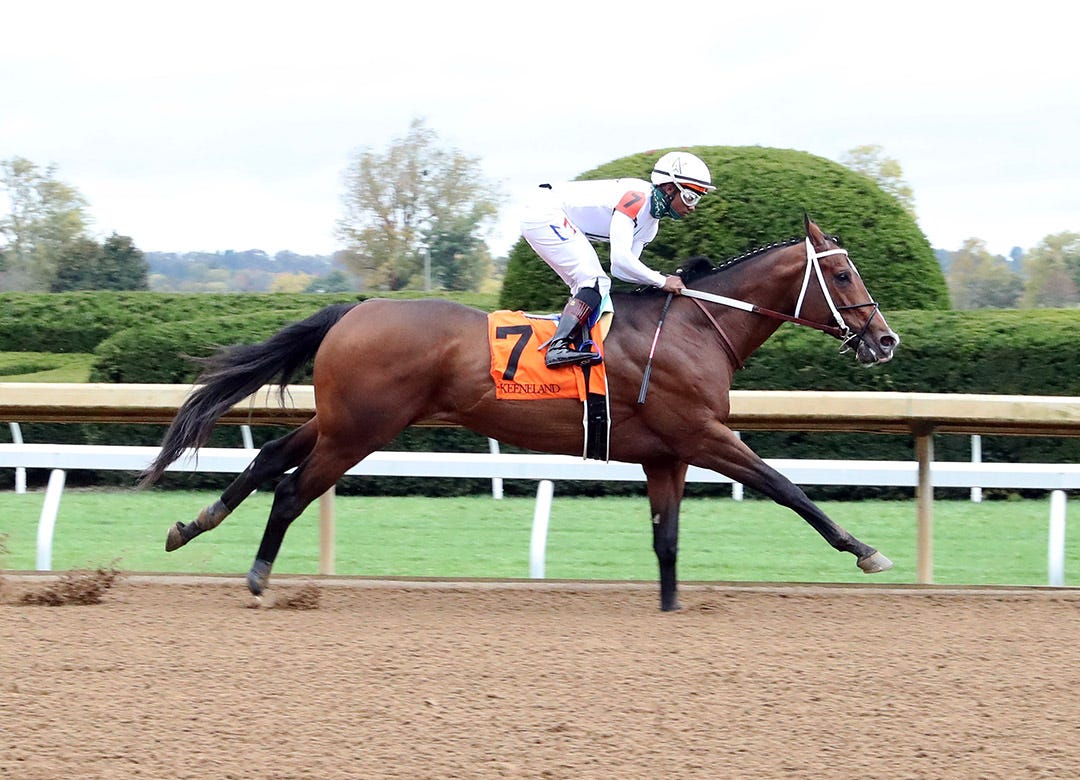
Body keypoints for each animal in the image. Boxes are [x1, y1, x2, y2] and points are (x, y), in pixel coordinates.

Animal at [143, 216, 902, 609]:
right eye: (841, 273)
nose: (886, 339)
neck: (695, 326)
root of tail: (353, 311)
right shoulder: (705, 434)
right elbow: (786, 487)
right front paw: (865, 550)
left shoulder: (667, 453)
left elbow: (667, 538)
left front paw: (670, 604)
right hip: (361, 429)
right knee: (293, 488)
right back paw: (257, 577)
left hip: (342, 419)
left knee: (273, 456)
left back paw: (189, 526)